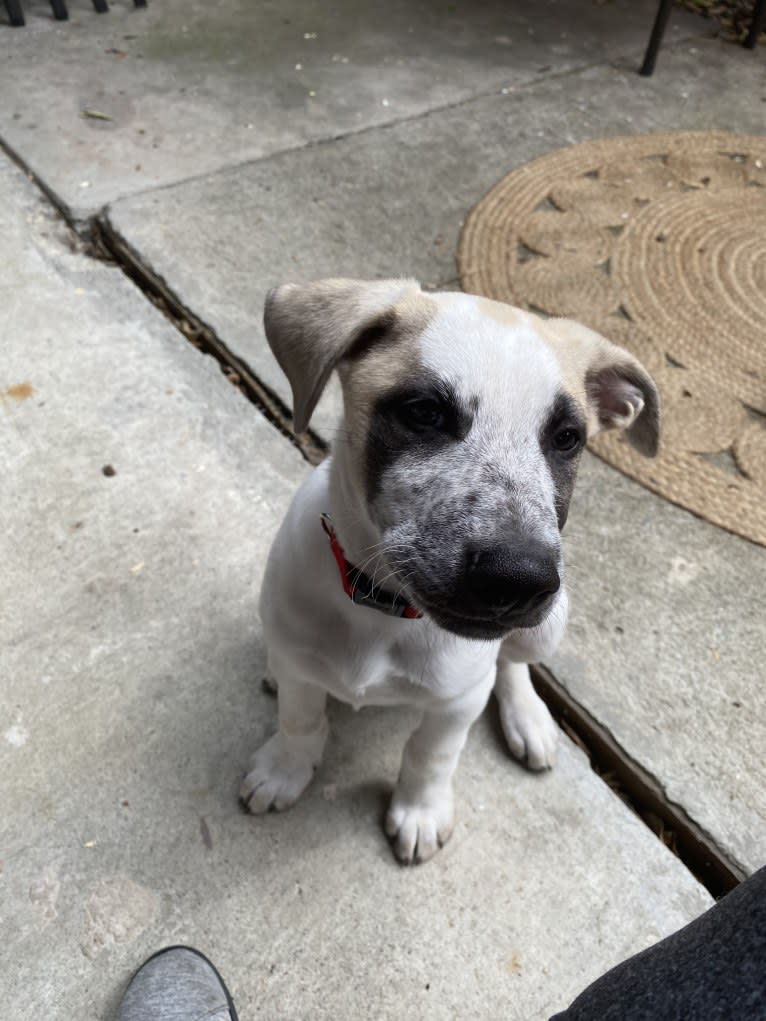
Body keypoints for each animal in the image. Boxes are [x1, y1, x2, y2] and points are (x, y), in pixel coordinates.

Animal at [241, 277, 661, 861]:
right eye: (424, 412)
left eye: (567, 438)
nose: (520, 578)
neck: (382, 610)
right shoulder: (302, 665)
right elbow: (300, 719)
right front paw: (284, 771)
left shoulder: (458, 701)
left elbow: (430, 754)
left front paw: (420, 811)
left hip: (547, 627)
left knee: (512, 663)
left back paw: (528, 717)